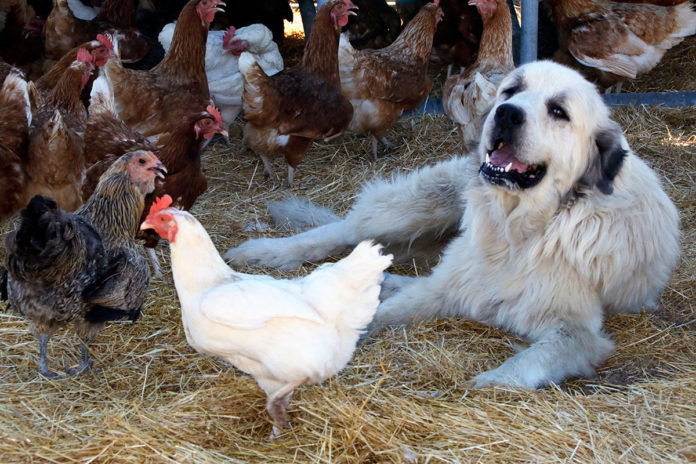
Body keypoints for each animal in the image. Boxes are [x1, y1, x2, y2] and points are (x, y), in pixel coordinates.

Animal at [227, 61, 680, 388]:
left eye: (558, 111)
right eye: (511, 90)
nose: (506, 114)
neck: (515, 232)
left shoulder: (578, 331)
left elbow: (537, 356)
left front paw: (496, 380)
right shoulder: (445, 287)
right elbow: (384, 314)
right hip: (418, 206)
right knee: (344, 231)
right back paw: (264, 252)